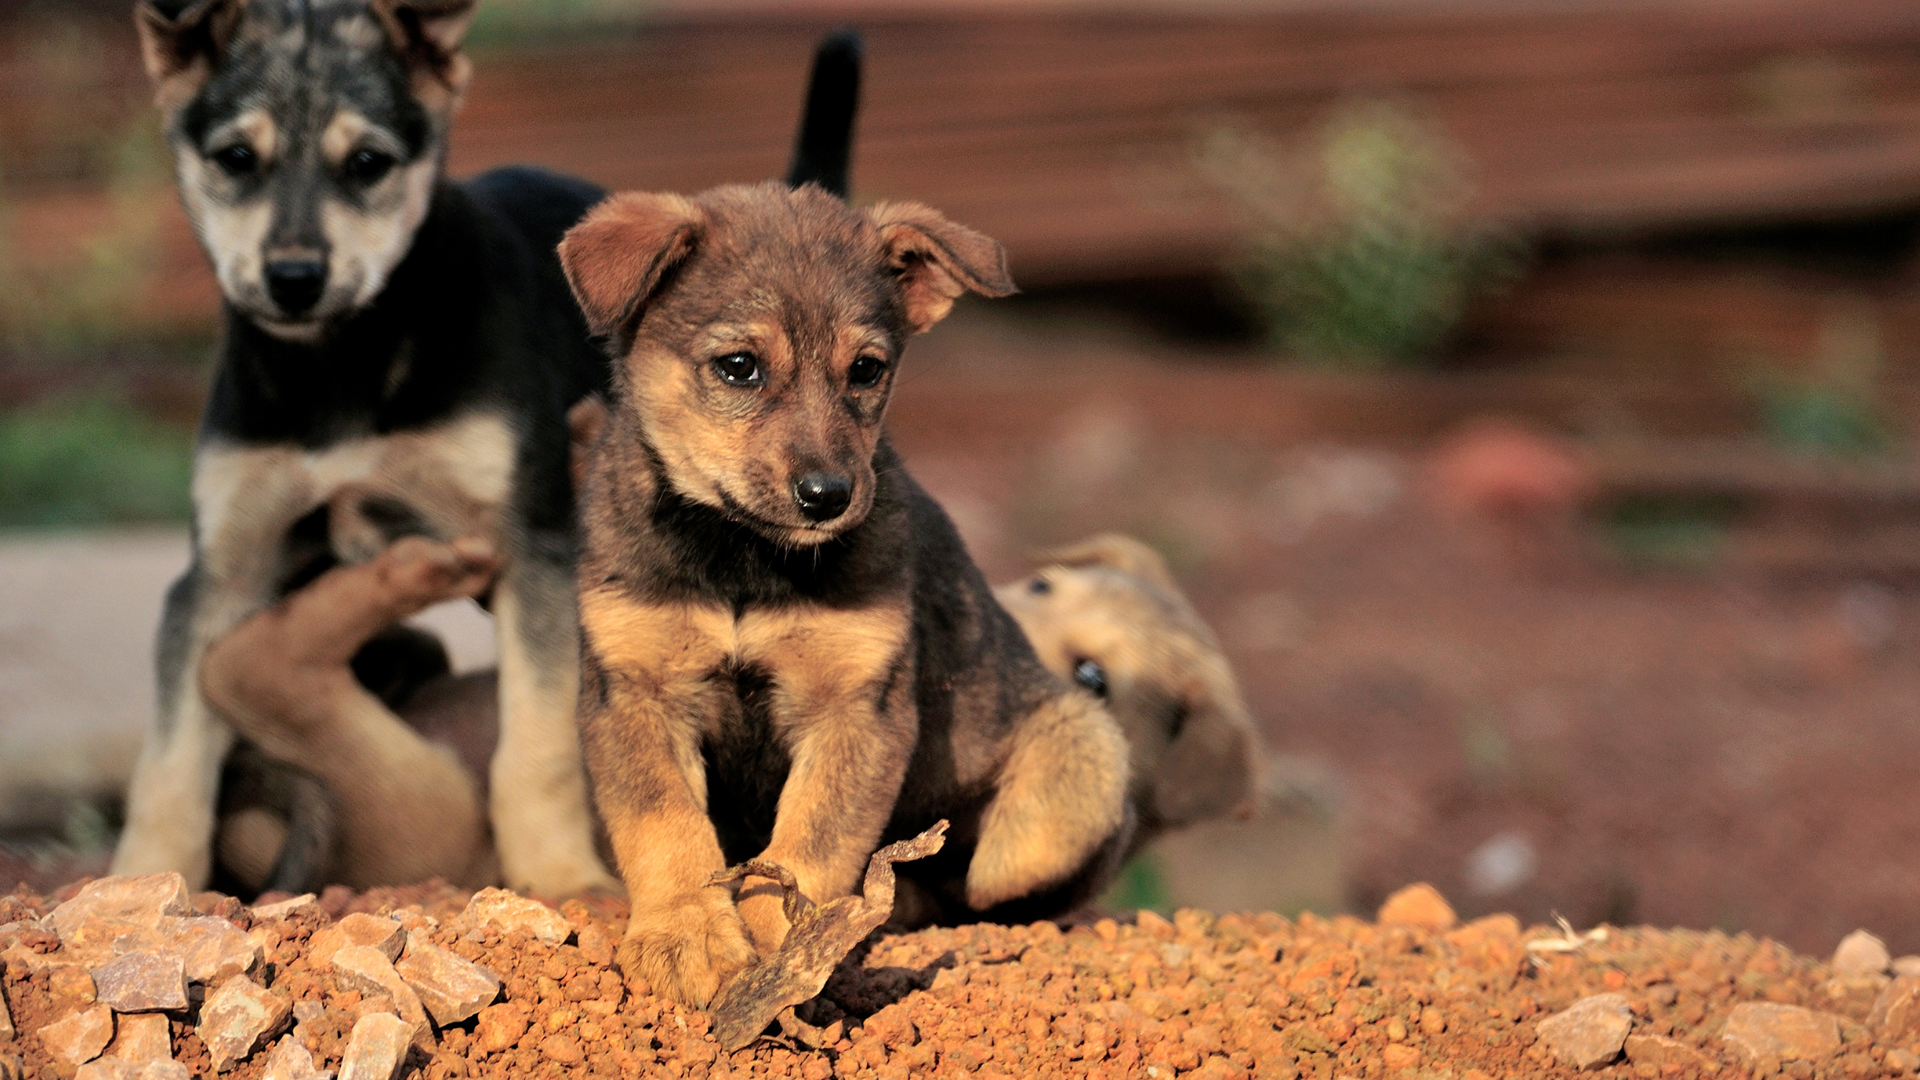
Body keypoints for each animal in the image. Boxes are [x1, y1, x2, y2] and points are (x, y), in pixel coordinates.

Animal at [549, 182, 1128, 999]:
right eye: (738, 366)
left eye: (867, 369)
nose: (829, 496)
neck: (744, 561)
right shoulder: (636, 691)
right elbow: (666, 826)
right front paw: (686, 935)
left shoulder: (858, 707)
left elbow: (808, 845)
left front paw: (779, 953)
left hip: (1077, 766)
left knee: (987, 888)